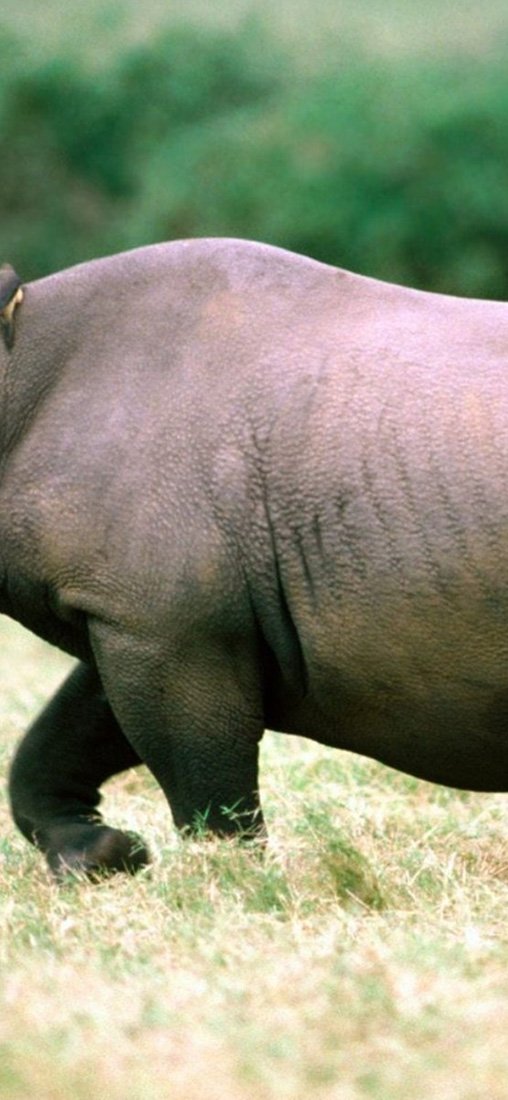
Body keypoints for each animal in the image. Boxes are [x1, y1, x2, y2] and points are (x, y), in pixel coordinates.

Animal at [1, 238, 507, 878]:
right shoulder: (143, 613)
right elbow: (64, 734)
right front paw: (104, 855)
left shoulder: (162, 625)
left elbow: (204, 779)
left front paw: (233, 881)